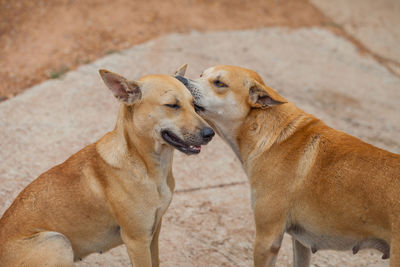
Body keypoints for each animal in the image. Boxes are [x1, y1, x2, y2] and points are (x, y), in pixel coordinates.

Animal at [0, 70, 216, 266]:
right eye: (172, 105)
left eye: (194, 105)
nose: (210, 134)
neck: (147, 166)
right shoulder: (137, 241)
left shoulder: (154, 233)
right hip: (58, 241)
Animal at [177, 65, 400, 267]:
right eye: (201, 75)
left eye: (219, 83)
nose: (180, 79)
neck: (262, 128)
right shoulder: (300, 242)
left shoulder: (267, 239)